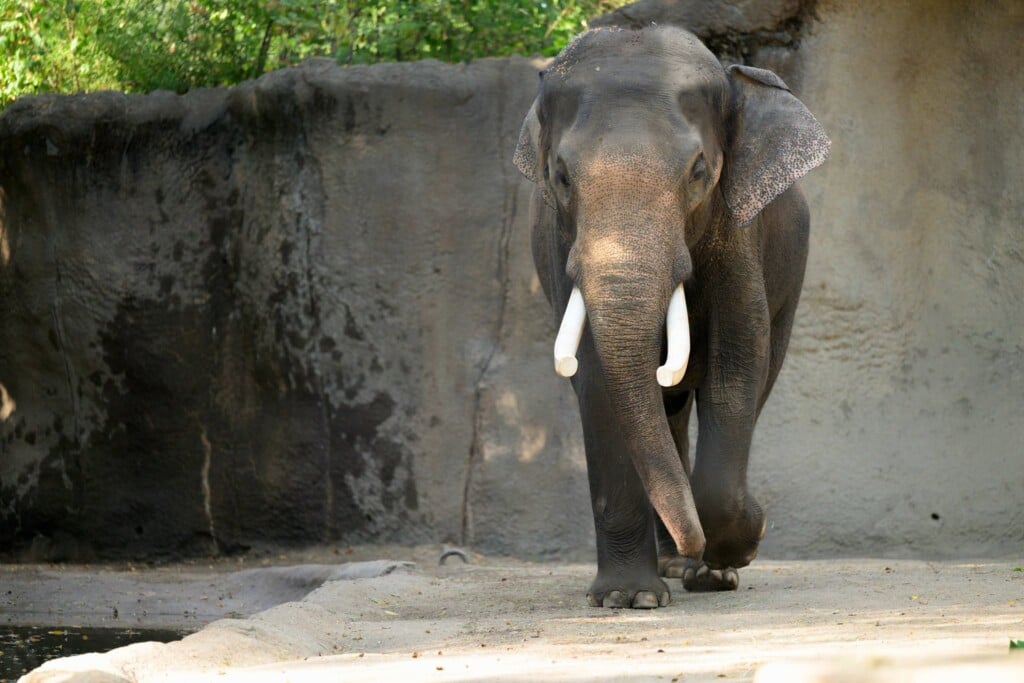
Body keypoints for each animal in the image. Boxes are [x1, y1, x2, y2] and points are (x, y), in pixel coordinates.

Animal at [514, 26, 829, 608]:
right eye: (561, 177)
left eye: (699, 171)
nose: (763, 522)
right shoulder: (561, 242)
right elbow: (599, 378)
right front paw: (628, 599)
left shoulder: (738, 232)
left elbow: (737, 363)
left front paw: (737, 548)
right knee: (669, 411)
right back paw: (671, 565)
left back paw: (701, 568)